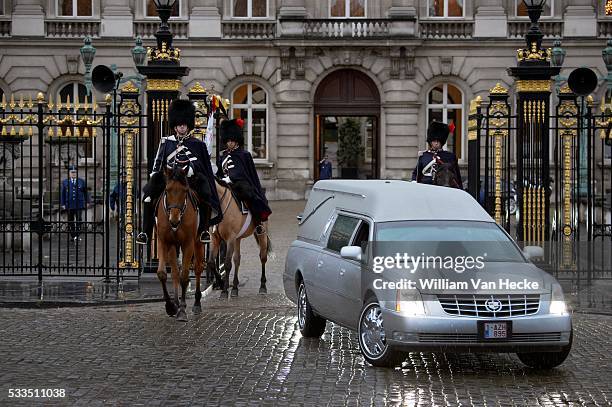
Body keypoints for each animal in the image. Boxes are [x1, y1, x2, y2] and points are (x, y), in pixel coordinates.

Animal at [155, 167, 206, 320]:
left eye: (185, 190)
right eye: (167, 189)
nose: (174, 221)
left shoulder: (188, 243)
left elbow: (185, 276)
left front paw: (182, 310)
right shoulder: (163, 241)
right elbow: (163, 273)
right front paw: (171, 306)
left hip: (198, 242)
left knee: (198, 268)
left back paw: (196, 303)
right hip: (173, 246)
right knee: (175, 272)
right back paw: (176, 303)